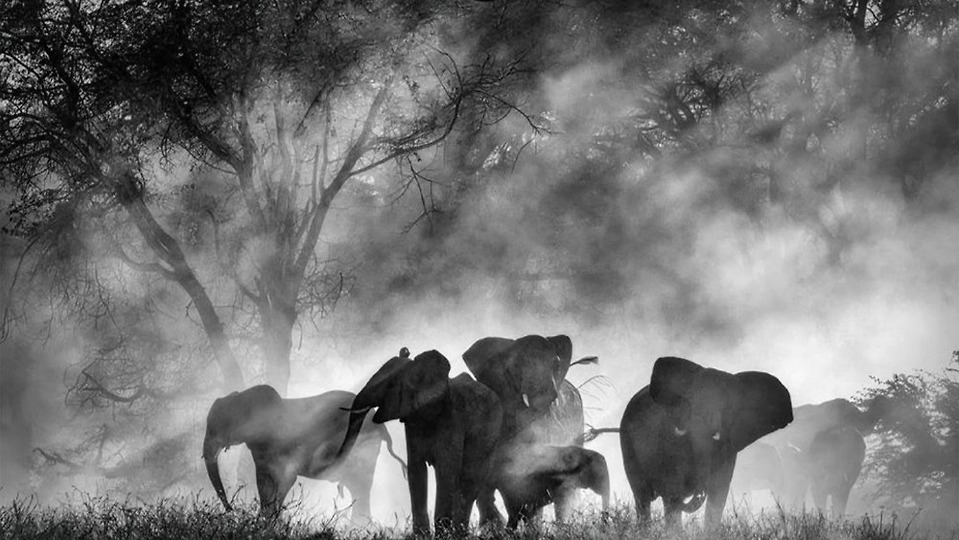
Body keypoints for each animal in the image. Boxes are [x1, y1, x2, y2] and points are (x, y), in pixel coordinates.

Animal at [202, 385, 406, 519]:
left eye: (219, 426)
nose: (232, 511)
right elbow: (265, 482)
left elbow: (284, 479)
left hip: (363, 448)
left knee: (361, 486)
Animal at [335, 348, 503, 534]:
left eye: (390, 385)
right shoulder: (412, 421)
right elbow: (416, 470)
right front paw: (422, 535)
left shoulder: (452, 419)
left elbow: (446, 471)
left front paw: (443, 534)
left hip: (491, 434)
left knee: (470, 481)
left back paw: (460, 532)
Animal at [620, 356, 793, 528]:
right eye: (690, 403)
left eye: (727, 407)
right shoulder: (668, 439)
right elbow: (673, 490)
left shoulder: (728, 447)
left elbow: (718, 493)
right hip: (627, 444)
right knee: (642, 497)